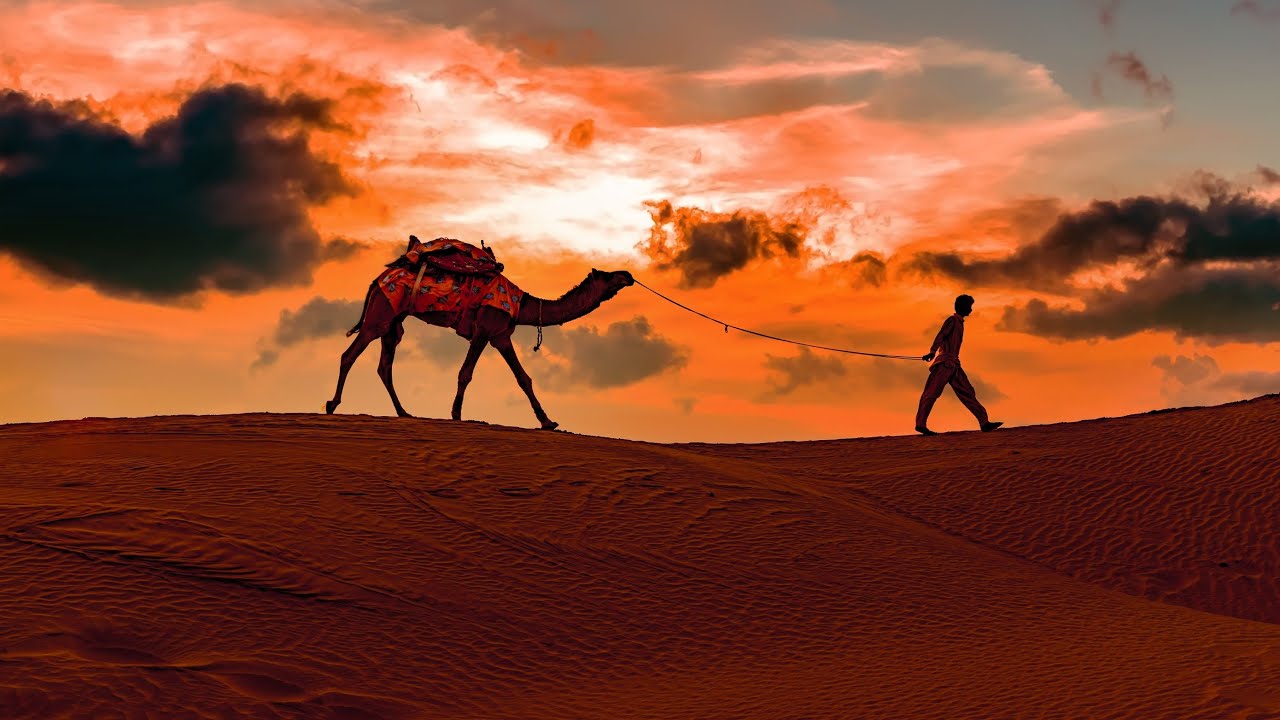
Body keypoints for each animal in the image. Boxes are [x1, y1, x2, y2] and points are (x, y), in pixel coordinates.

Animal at [325, 254, 634, 427]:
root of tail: (379, 279)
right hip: (380, 315)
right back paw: (332, 404)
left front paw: (548, 421)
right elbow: (465, 373)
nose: (628, 275)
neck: (522, 304)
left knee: (384, 366)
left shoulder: (500, 335)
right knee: (350, 354)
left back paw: (404, 413)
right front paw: (456, 414)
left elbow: (523, 378)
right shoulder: (485, 329)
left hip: (393, 321)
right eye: (608, 275)